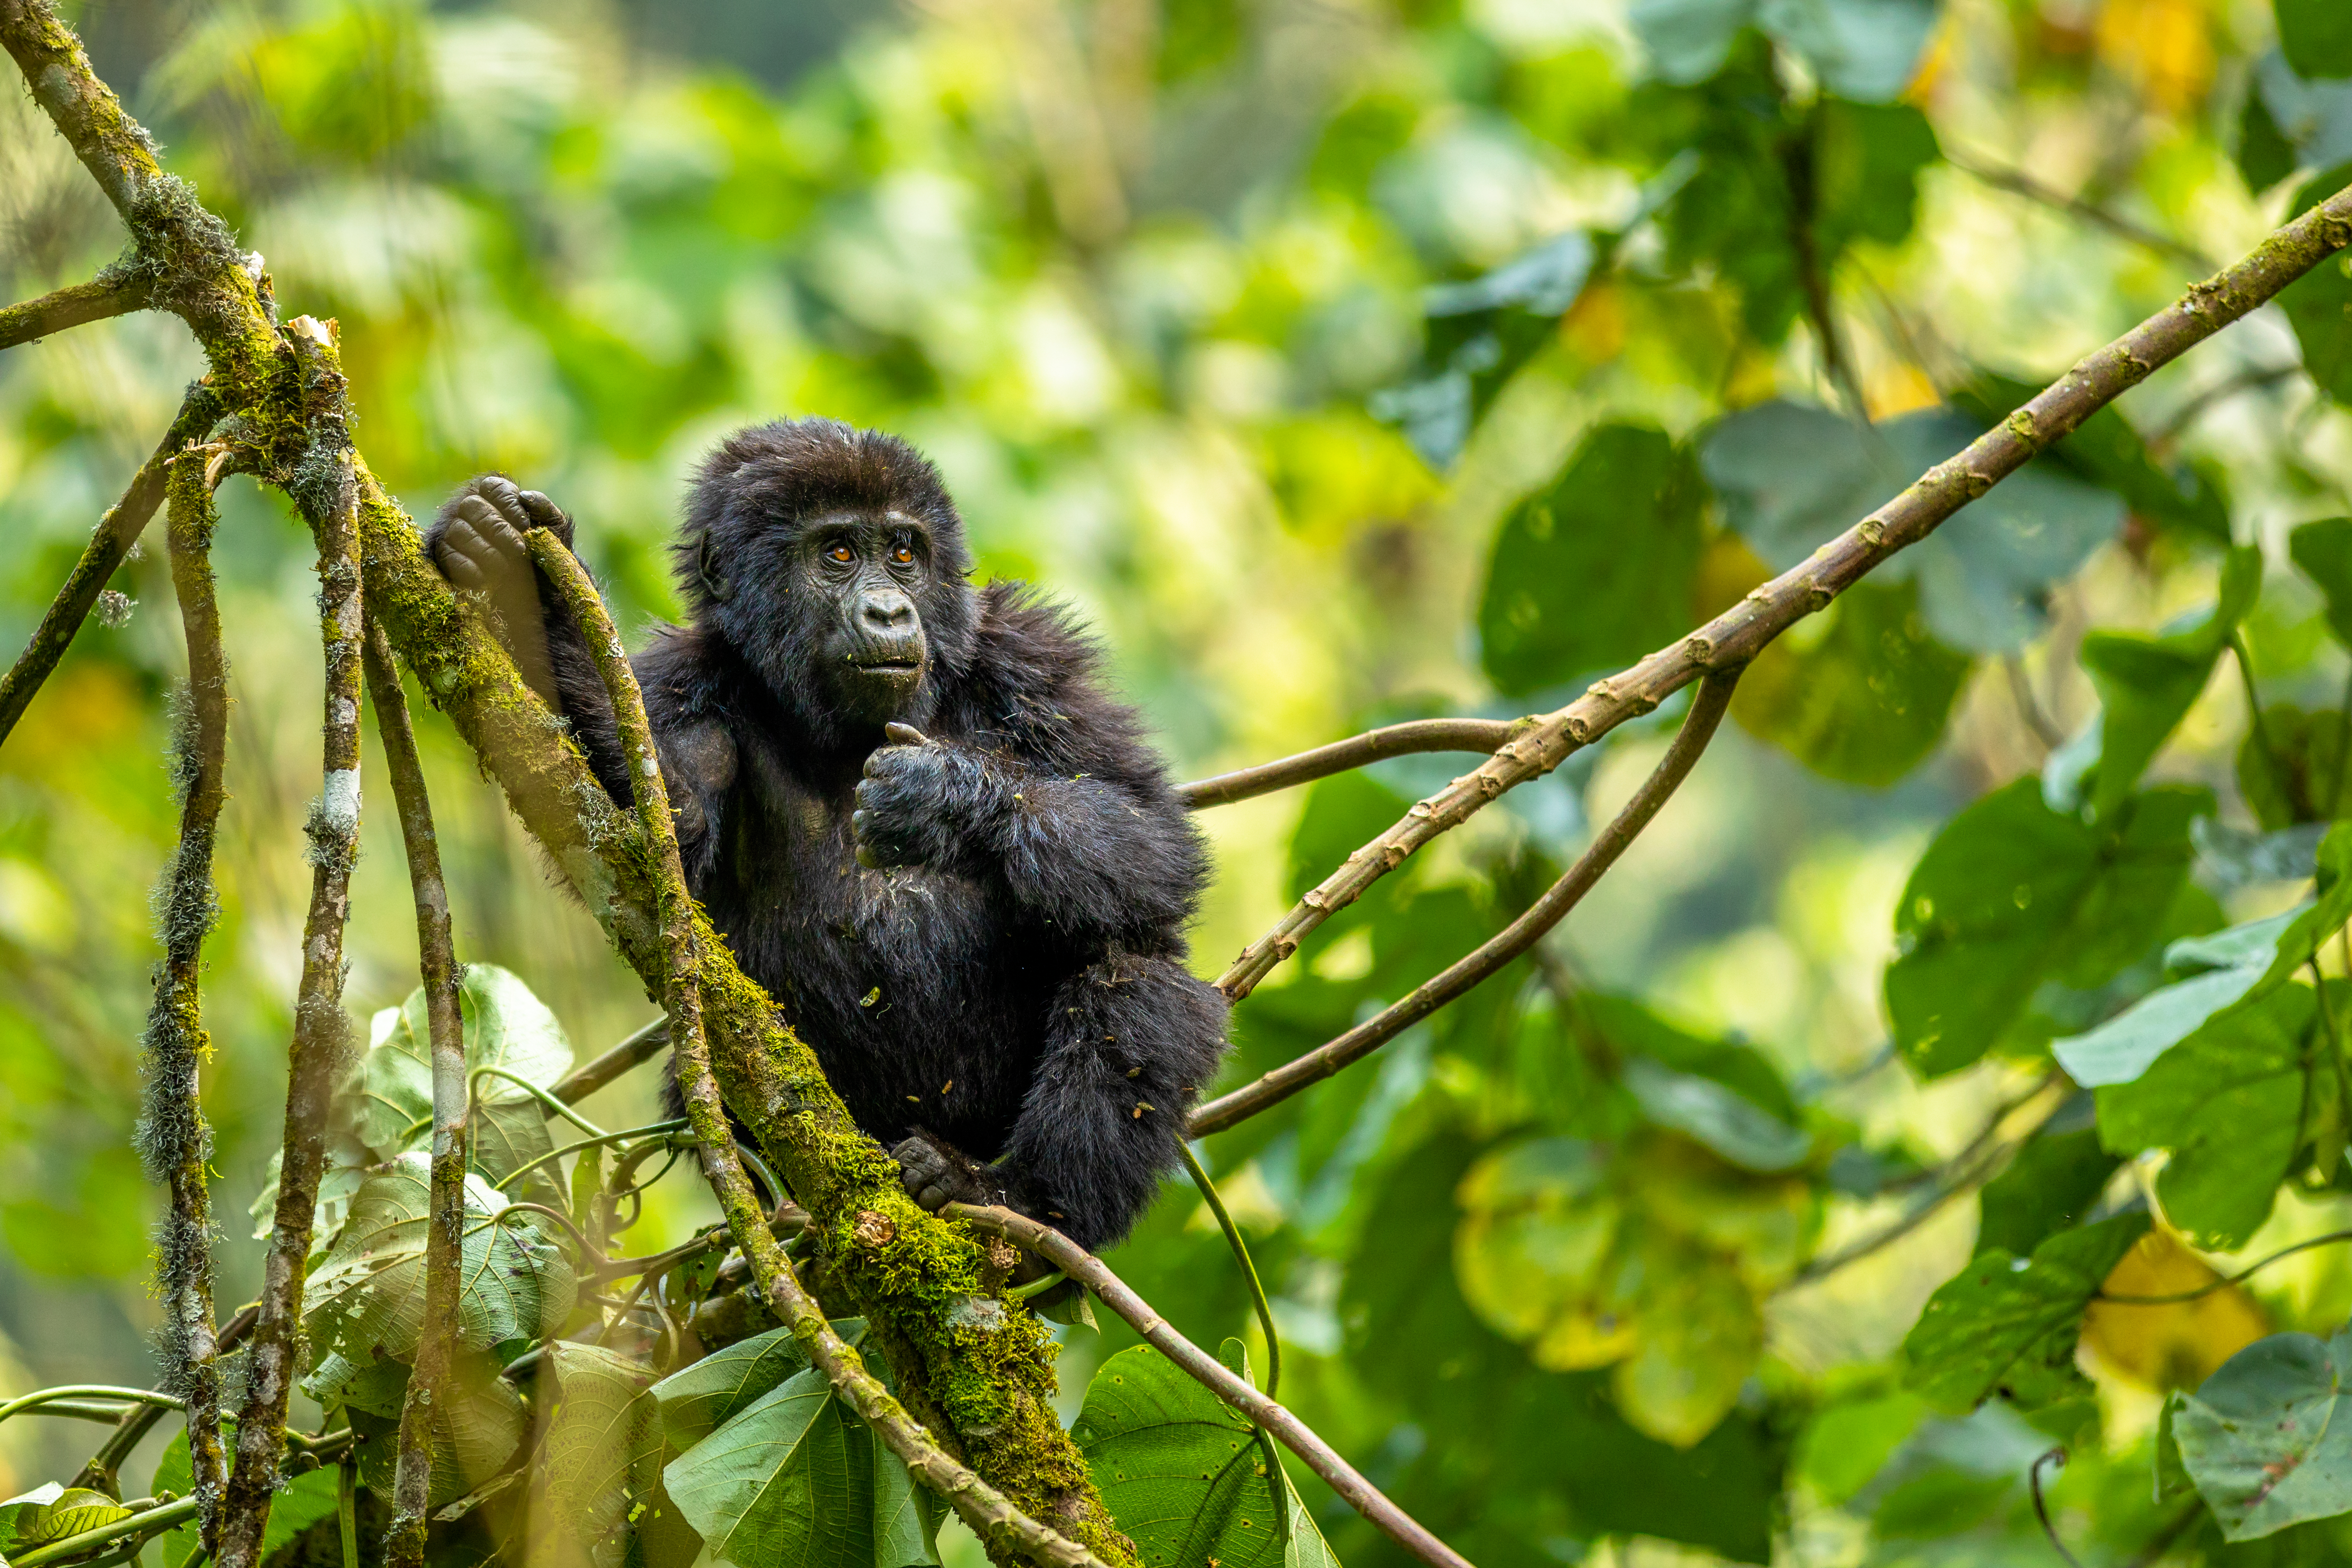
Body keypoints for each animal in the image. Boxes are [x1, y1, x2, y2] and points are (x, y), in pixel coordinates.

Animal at [428, 416, 1232, 1251]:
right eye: (838, 553)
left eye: (904, 553)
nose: (888, 612)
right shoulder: (679, 680)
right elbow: (654, 836)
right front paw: (534, 595)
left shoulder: (1032, 657)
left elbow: (1151, 835)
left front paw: (940, 797)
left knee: (1132, 965)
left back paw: (1016, 1195)